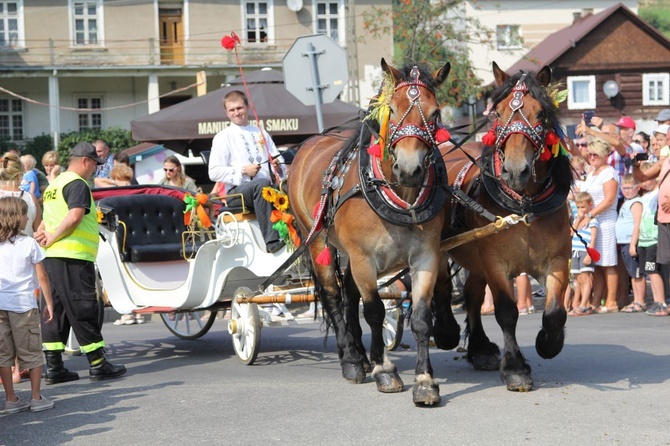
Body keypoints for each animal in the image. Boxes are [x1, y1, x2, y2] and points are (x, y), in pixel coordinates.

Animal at [288, 58, 452, 404]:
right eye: (393, 108)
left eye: (435, 113)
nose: (410, 169)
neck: (401, 196)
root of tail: (310, 143)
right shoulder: (364, 258)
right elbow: (375, 311)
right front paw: (384, 370)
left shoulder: (426, 257)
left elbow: (421, 317)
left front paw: (424, 380)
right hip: (318, 239)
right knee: (334, 295)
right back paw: (352, 359)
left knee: (349, 294)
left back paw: (361, 357)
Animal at [438, 61, 576, 390]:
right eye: (498, 114)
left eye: (540, 114)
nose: (515, 171)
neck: (524, 207)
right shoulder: (495, 263)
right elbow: (506, 312)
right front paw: (515, 368)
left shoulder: (557, 260)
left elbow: (555, 311)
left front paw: (548, 343)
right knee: (440, 287)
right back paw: (446, 332)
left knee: (473, 296)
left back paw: (479, 349)